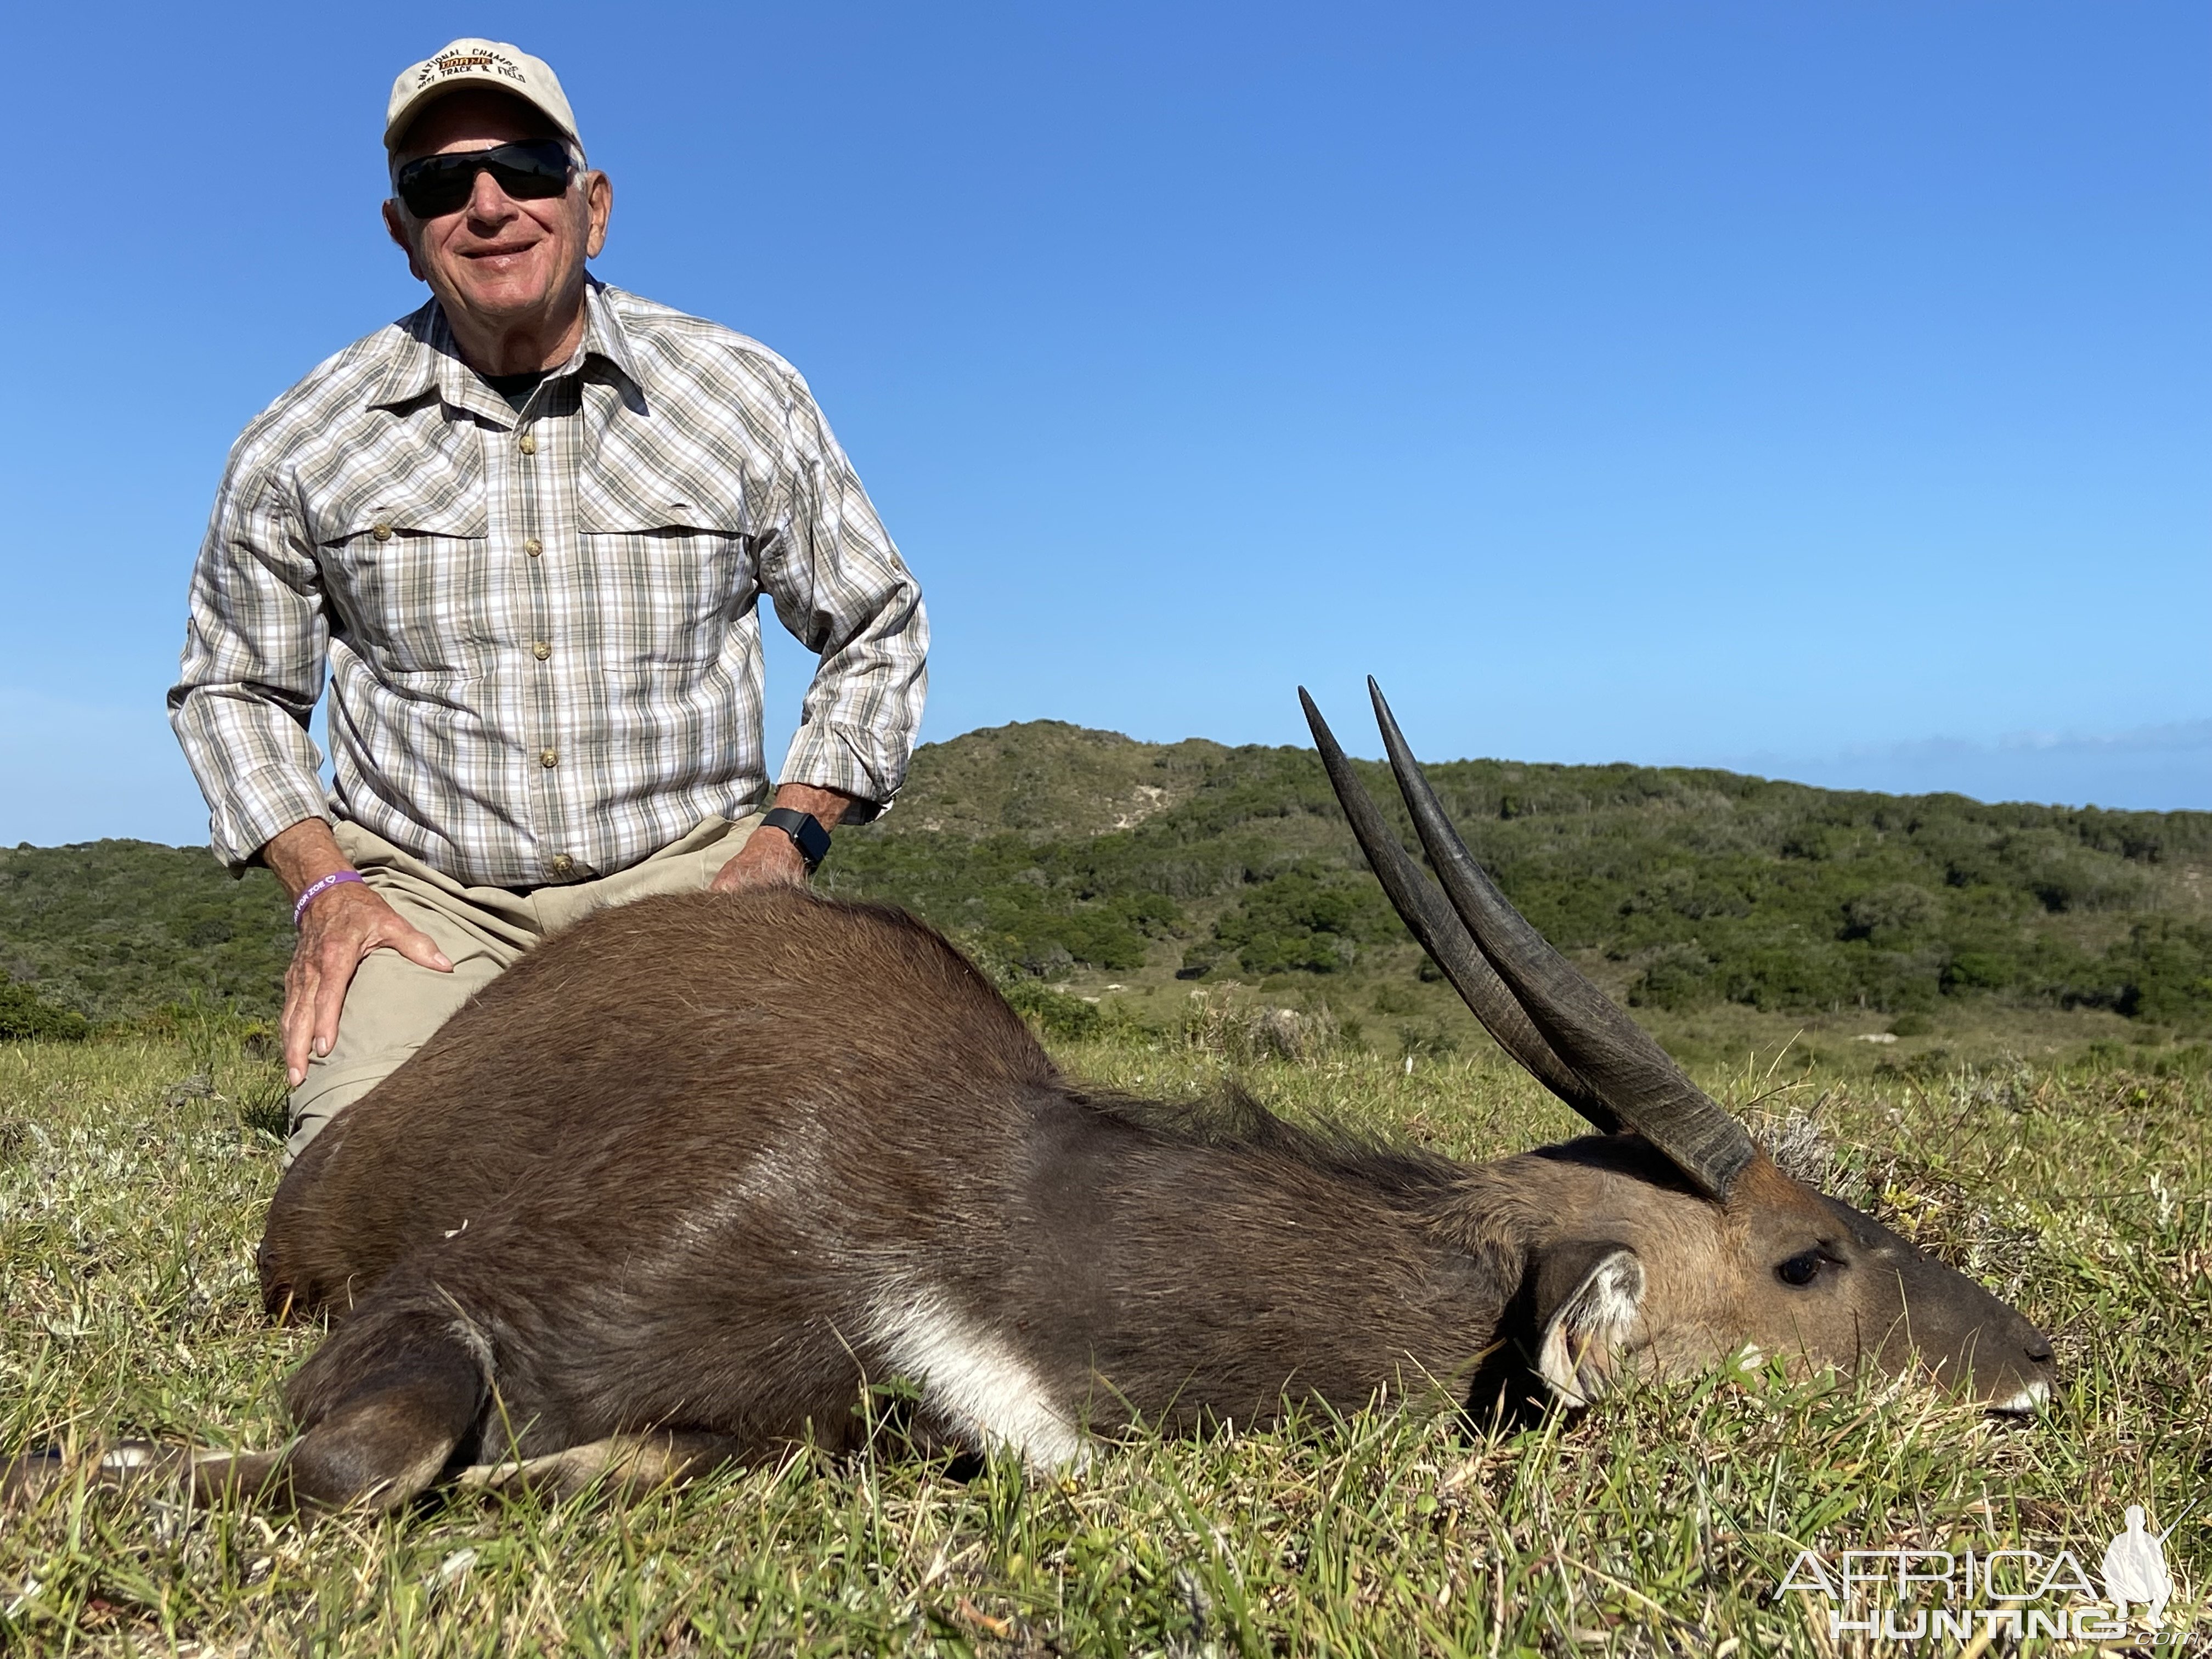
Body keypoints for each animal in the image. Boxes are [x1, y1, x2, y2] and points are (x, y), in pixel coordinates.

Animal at [13, 681, 2052, 1513]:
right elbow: (367, 1462)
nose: (2037, 1369)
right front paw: (83, 1468)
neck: (1004, 1210)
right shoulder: (457, 1307)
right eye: (1803, 1257)